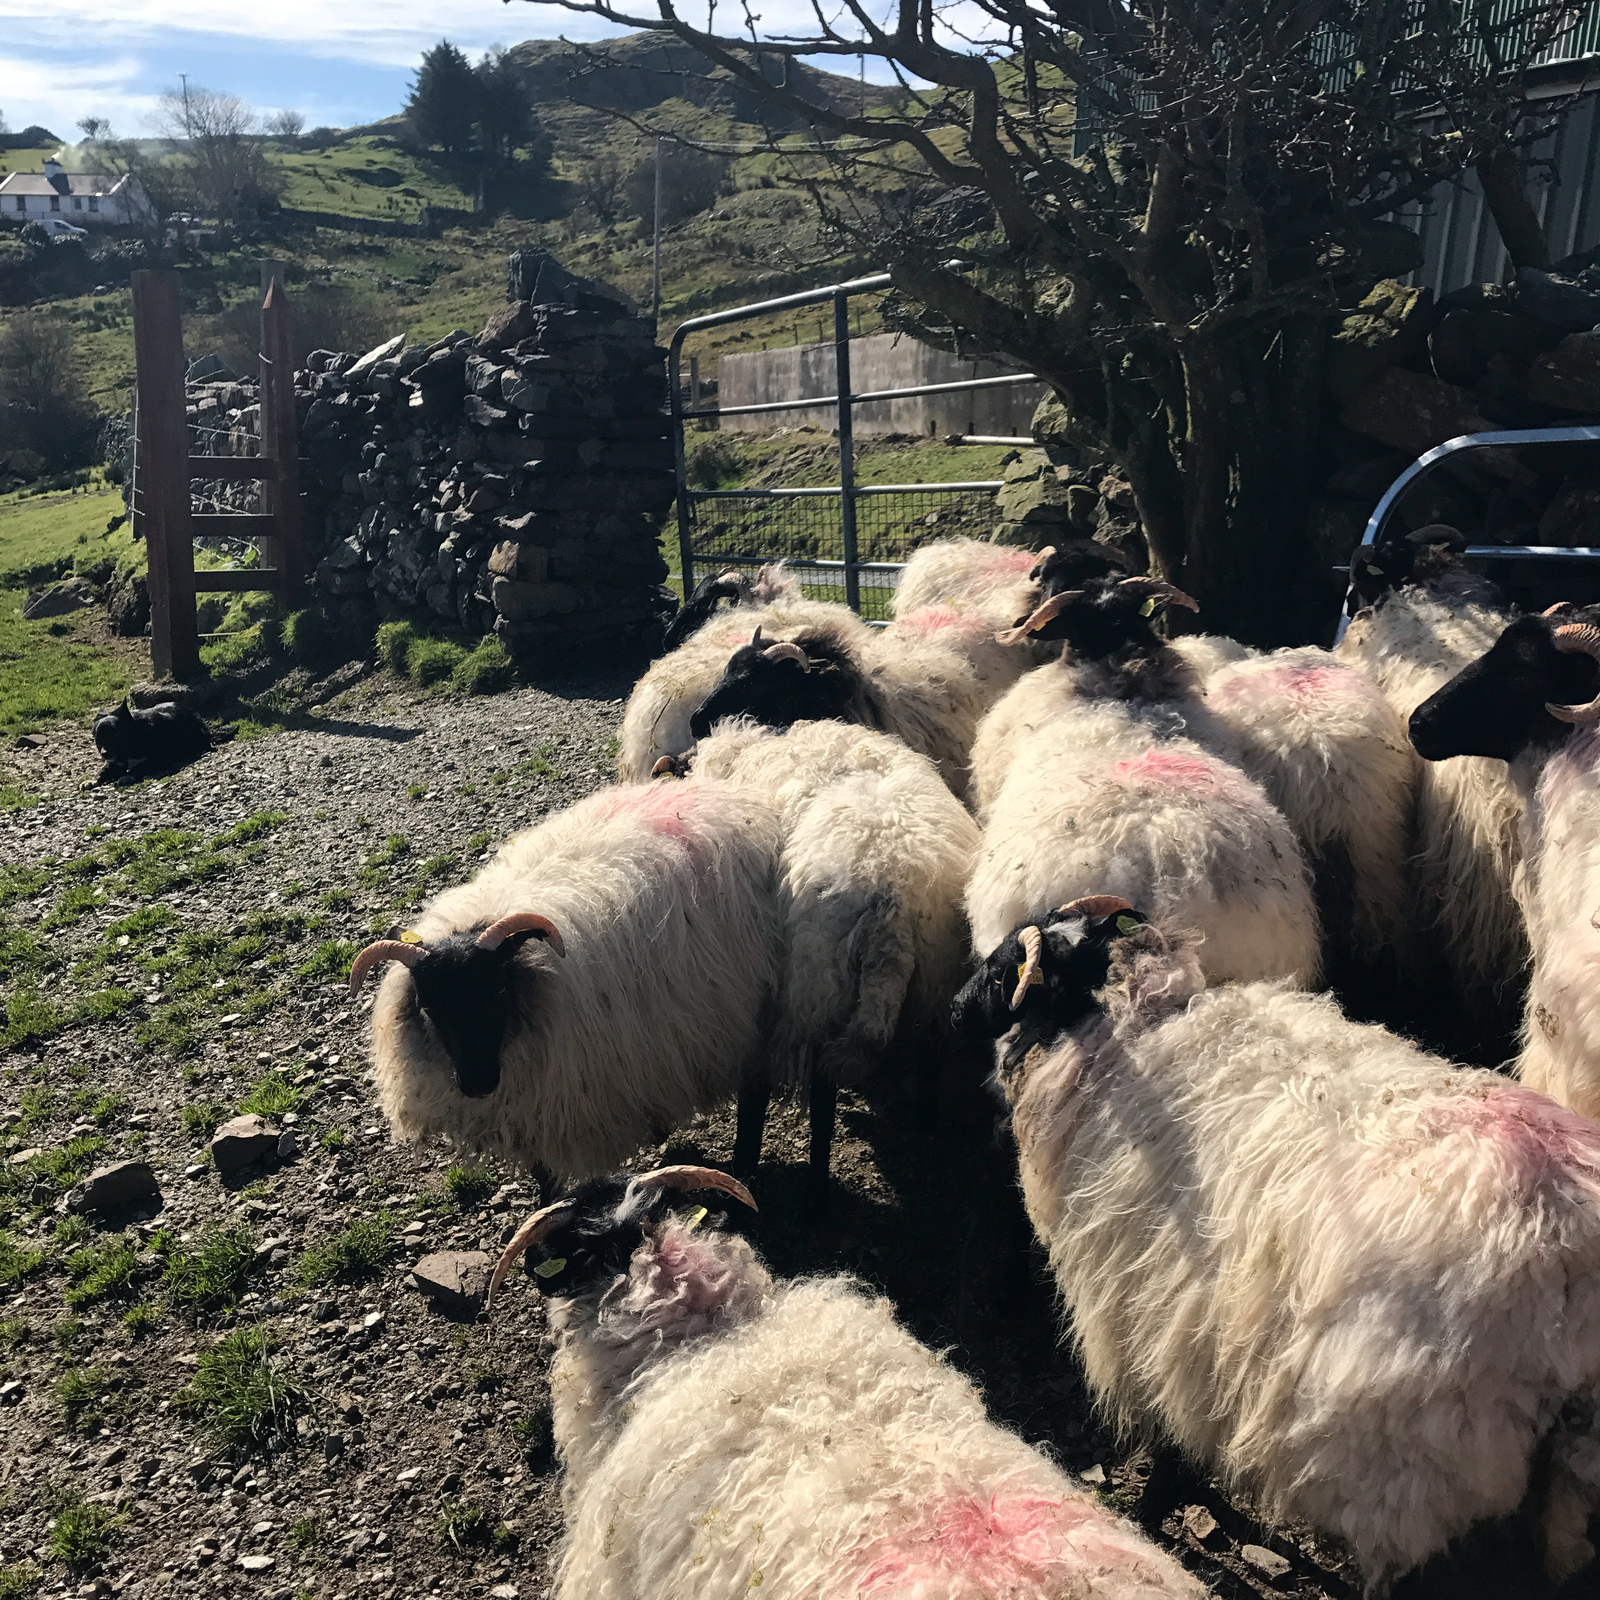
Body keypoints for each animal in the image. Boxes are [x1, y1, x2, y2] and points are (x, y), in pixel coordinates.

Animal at [352, 780, 787, 1184]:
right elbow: (542, 1173)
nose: (477, 1083)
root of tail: (719, 793)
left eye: (498, 990)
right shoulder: (530, 1108)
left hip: (755, 1012)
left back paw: (744, 1167)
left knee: (754, 1093)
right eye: (429, 1007)